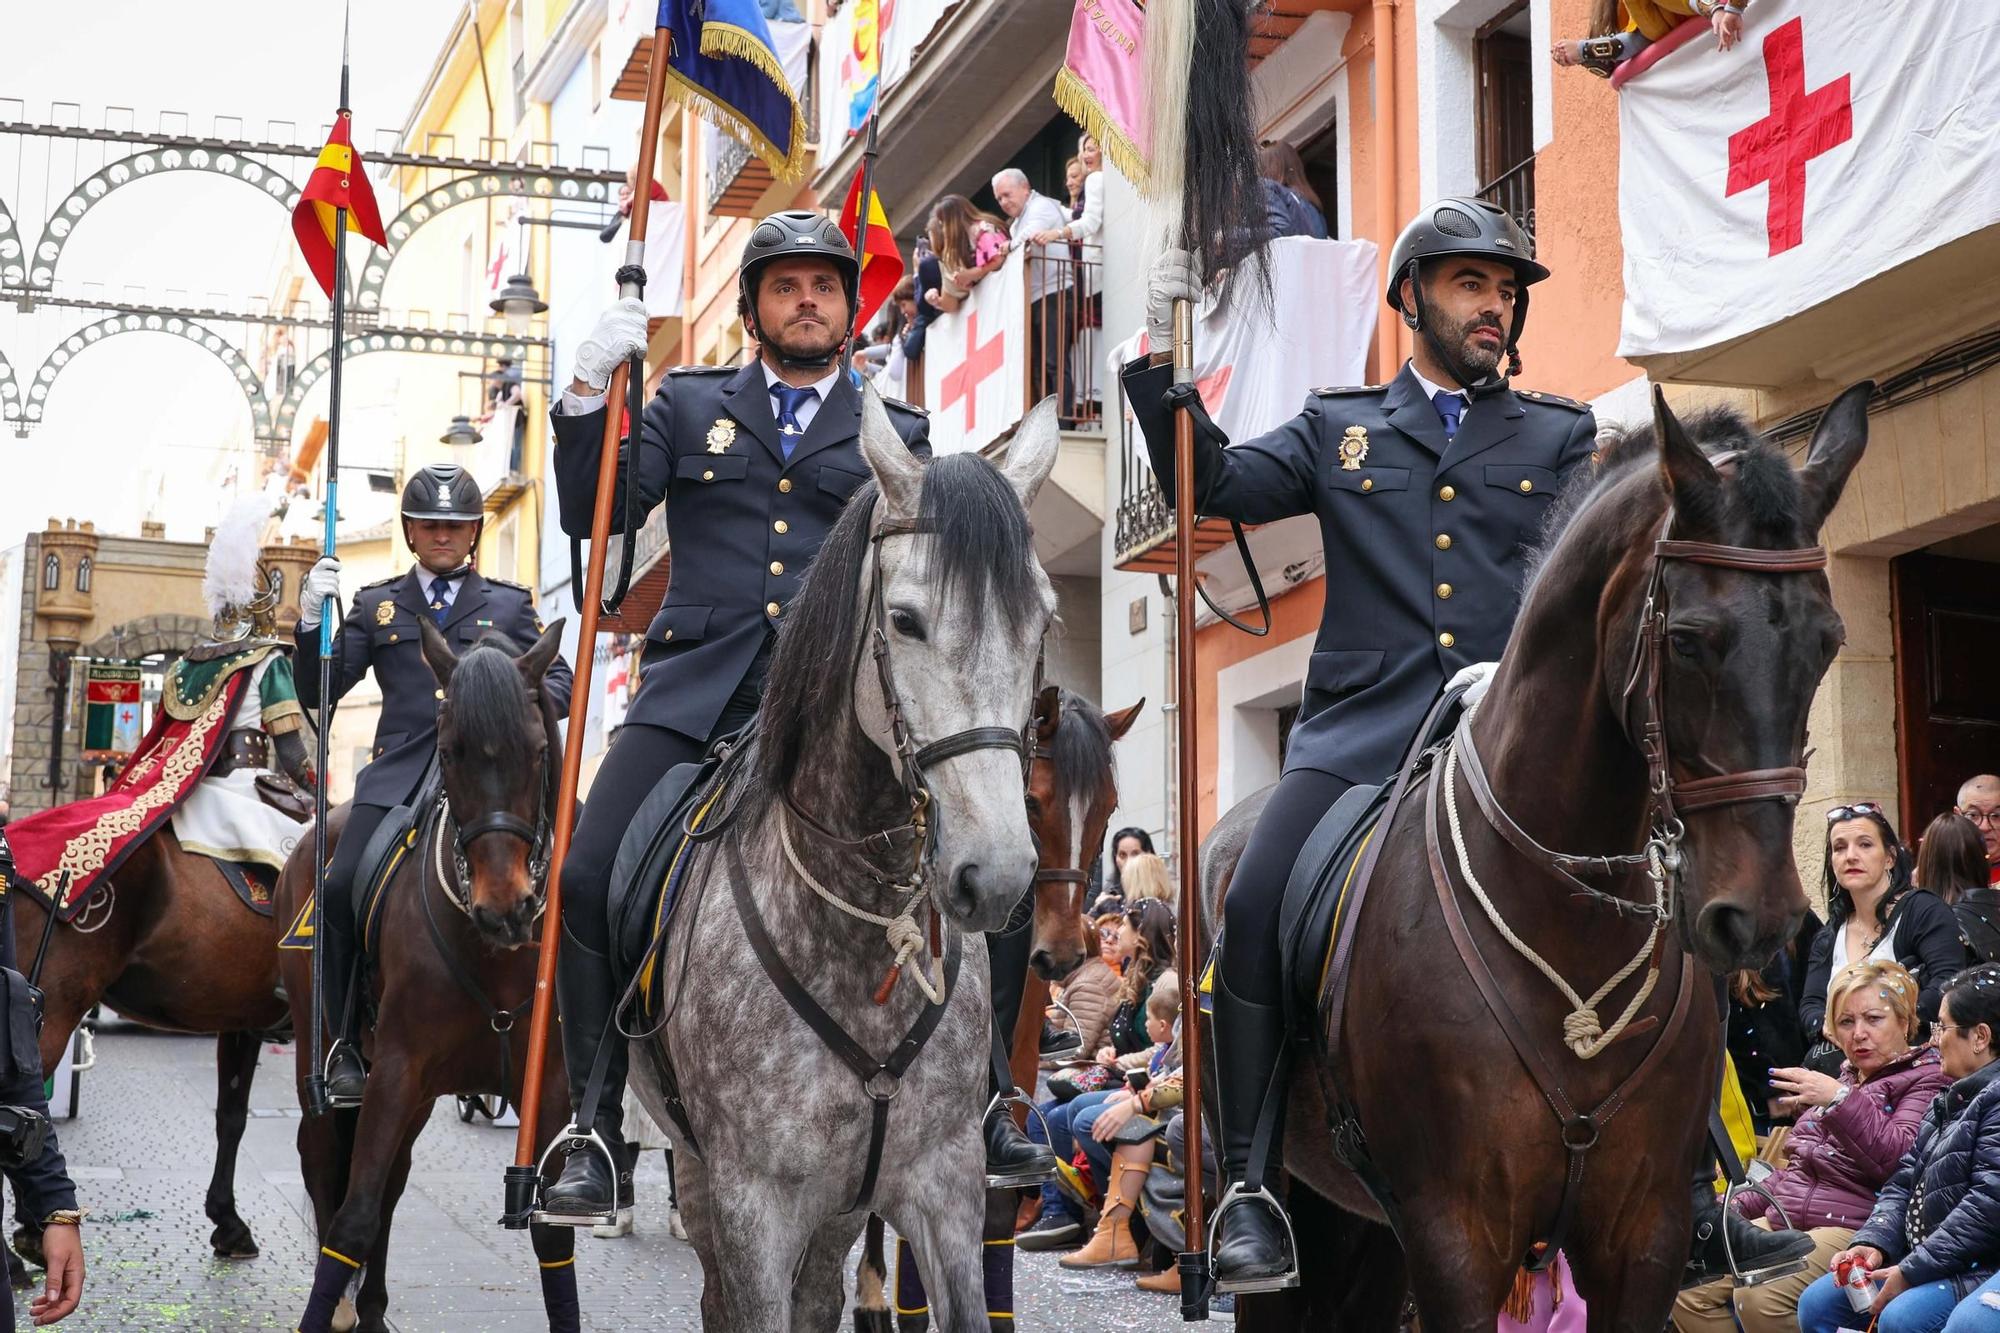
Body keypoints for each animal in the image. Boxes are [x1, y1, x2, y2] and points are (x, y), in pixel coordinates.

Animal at [272, 624, 580, 1328]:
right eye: (450, 751)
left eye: (536, 751)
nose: (506, 906)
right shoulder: (395, 1068)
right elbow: (353, 1218)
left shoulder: (545, 1088)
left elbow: (551, 1235)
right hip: (326, 1057)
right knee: (326, 1160)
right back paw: (345, 1306)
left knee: (391, 1180)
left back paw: (373, 1306)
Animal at [632, 390, 1064, 1320]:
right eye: (904, 620)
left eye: (1041, 621)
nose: (996, 875)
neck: (862, 929)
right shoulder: (753, 1203)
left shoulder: (943, 1188)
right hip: (701, 1170)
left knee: (822, 1292)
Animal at [1200, 386, 1872, 1328]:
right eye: (1689, 638)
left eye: (1827, 641)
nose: (1762, 916)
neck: (1567, 916)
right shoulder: (1456, 1239)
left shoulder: (1644, 1237)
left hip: (1365, 1225)